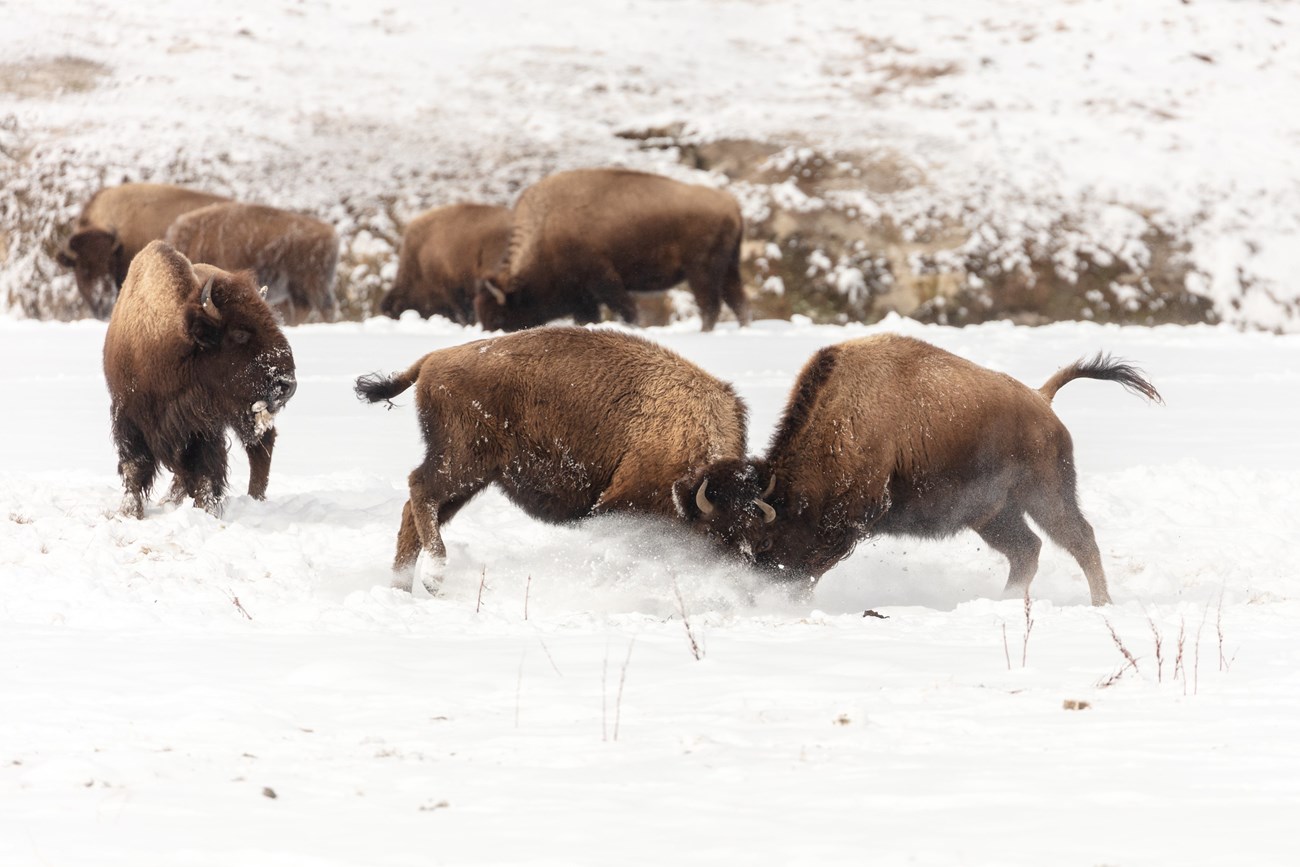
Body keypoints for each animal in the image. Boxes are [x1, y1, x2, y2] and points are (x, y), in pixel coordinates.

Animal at [103, 241, 297, 517]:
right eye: (239, 333)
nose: (287, 384)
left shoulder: (203, 427)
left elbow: (205, 471)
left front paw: (206, 510)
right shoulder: (128, 416)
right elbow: (135, 467)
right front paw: (130, 512)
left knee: (261, 445)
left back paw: (255, 499)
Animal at [354, 326, 769, 592]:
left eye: (755, 534)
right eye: (714, 532)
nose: (739, 575)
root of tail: (432, 359)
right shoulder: (621, 505)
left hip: (474, 476)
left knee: (415, 512)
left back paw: (402, 588)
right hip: (462, 461)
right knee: (420, 490)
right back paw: (434, 577)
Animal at [474, 168, 750, 332]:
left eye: (498, 316)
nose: (491, 334)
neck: (545, 230)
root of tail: (730, 203)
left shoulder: (603, 280)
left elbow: (626, 309)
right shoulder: (583, 298)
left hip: (701, 271)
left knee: (710, 304)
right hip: (729, 268)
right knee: (737, 300)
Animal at [711, 334, 1162, 606]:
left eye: (764, 541)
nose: (751, 590)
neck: (844, 417)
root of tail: (1041, 399)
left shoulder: (848, 522)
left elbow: (812, 567)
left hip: (1046, 494)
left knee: (1080, 540)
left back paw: (1101, 604)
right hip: (993, 514)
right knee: (1027, 549)